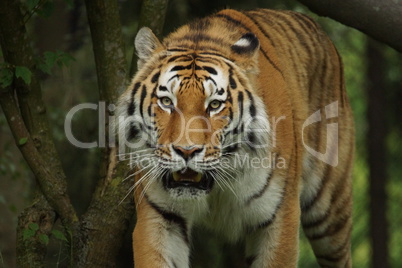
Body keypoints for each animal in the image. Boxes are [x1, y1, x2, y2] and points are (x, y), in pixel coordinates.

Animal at [116, 7, 354, 268]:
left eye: (214, 105)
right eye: (167, 101)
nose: (187, 151)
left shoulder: (279, 216)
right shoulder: (161, 216)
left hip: (329, 210)